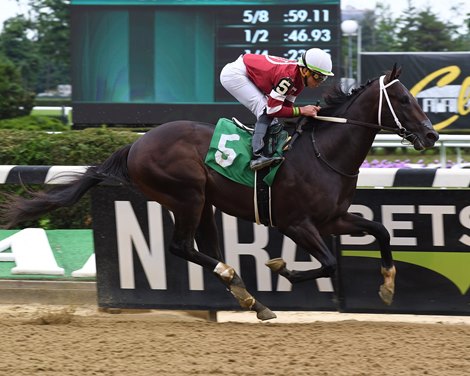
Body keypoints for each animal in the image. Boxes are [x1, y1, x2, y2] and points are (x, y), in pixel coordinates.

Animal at [2, 65, 436, 320]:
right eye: (402, 98)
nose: (431, 135)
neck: (324, 152)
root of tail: (137, 143)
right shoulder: (297, 224)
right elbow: (328, 263)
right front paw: (282, 267)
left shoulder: (334, 218)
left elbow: (380, 230)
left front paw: (387, 286)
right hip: (187, 196)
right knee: (182, 247)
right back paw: (240, 285)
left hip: (205, 203)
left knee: (204, 248)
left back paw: (250, 299)